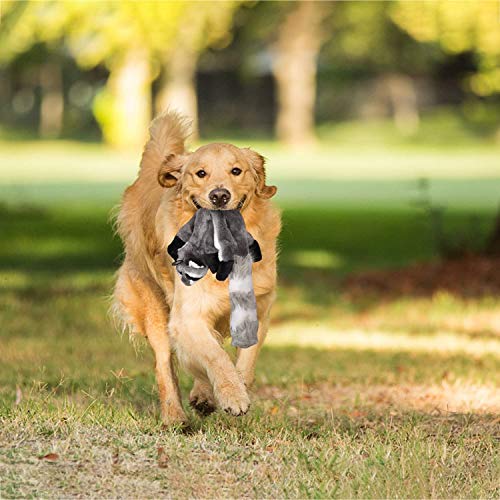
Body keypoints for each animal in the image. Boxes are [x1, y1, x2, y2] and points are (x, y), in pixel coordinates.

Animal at [113, 111, 282, 424]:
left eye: (236, 171)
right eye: (200, 173)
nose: (219, 195)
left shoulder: (258, 308)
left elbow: (245, 359)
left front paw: (237, 386)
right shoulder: (187, 315)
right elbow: (215, 356)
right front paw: (233, 395)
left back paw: (203, 396)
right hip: (154, 306)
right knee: (165, 363)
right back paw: (174, 415)